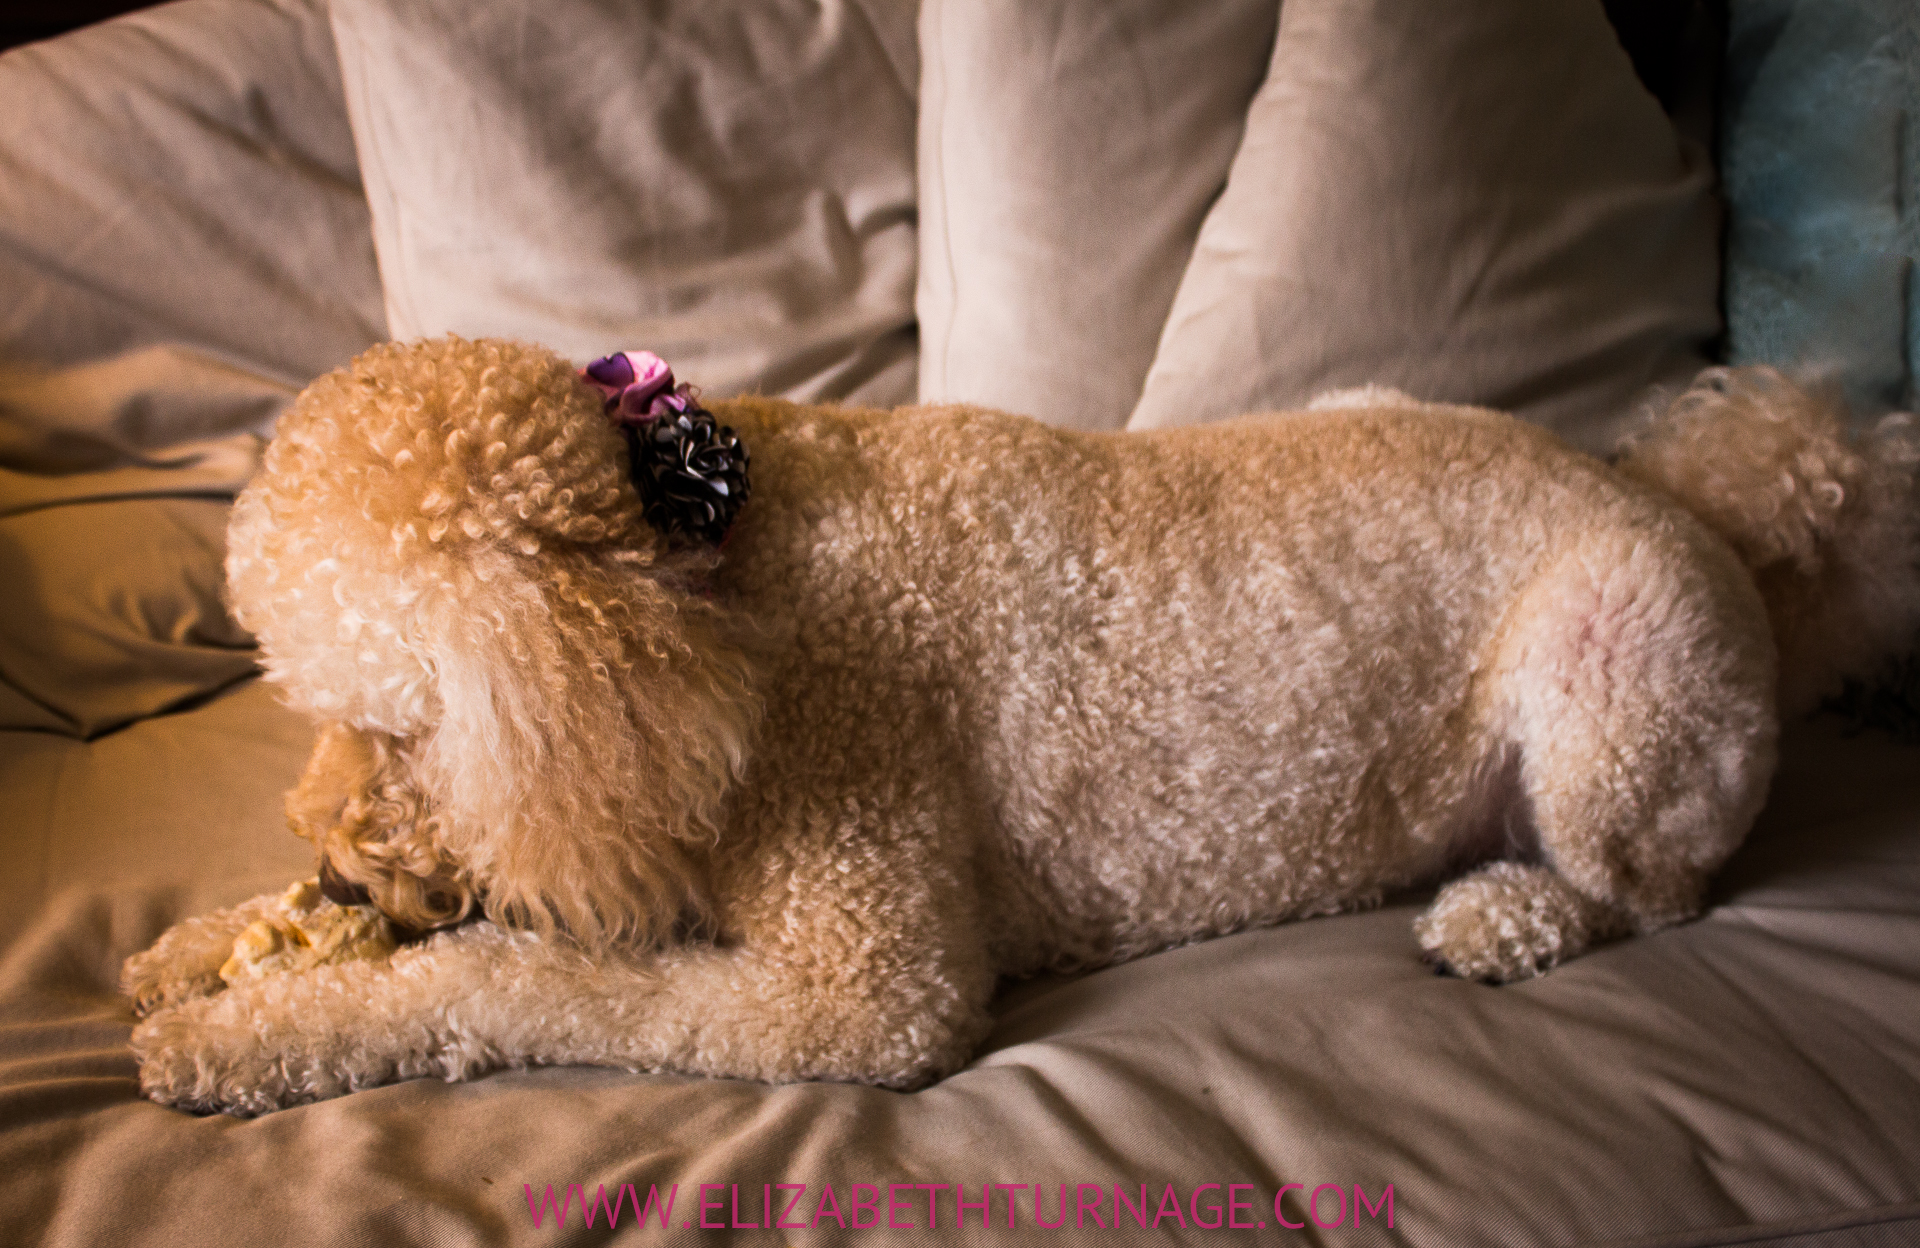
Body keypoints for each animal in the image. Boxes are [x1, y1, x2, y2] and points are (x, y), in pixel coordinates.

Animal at [127, 337, 1920, 1105]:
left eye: (396, 723)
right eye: (307, 711)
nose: (342, 874)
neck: (714, 581)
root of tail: (1689, 498)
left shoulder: (863, 985)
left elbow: (514, 977)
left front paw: (251, 1031)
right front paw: (206, 953)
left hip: (1612, 675)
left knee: (1657, 890)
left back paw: (1505, 912)